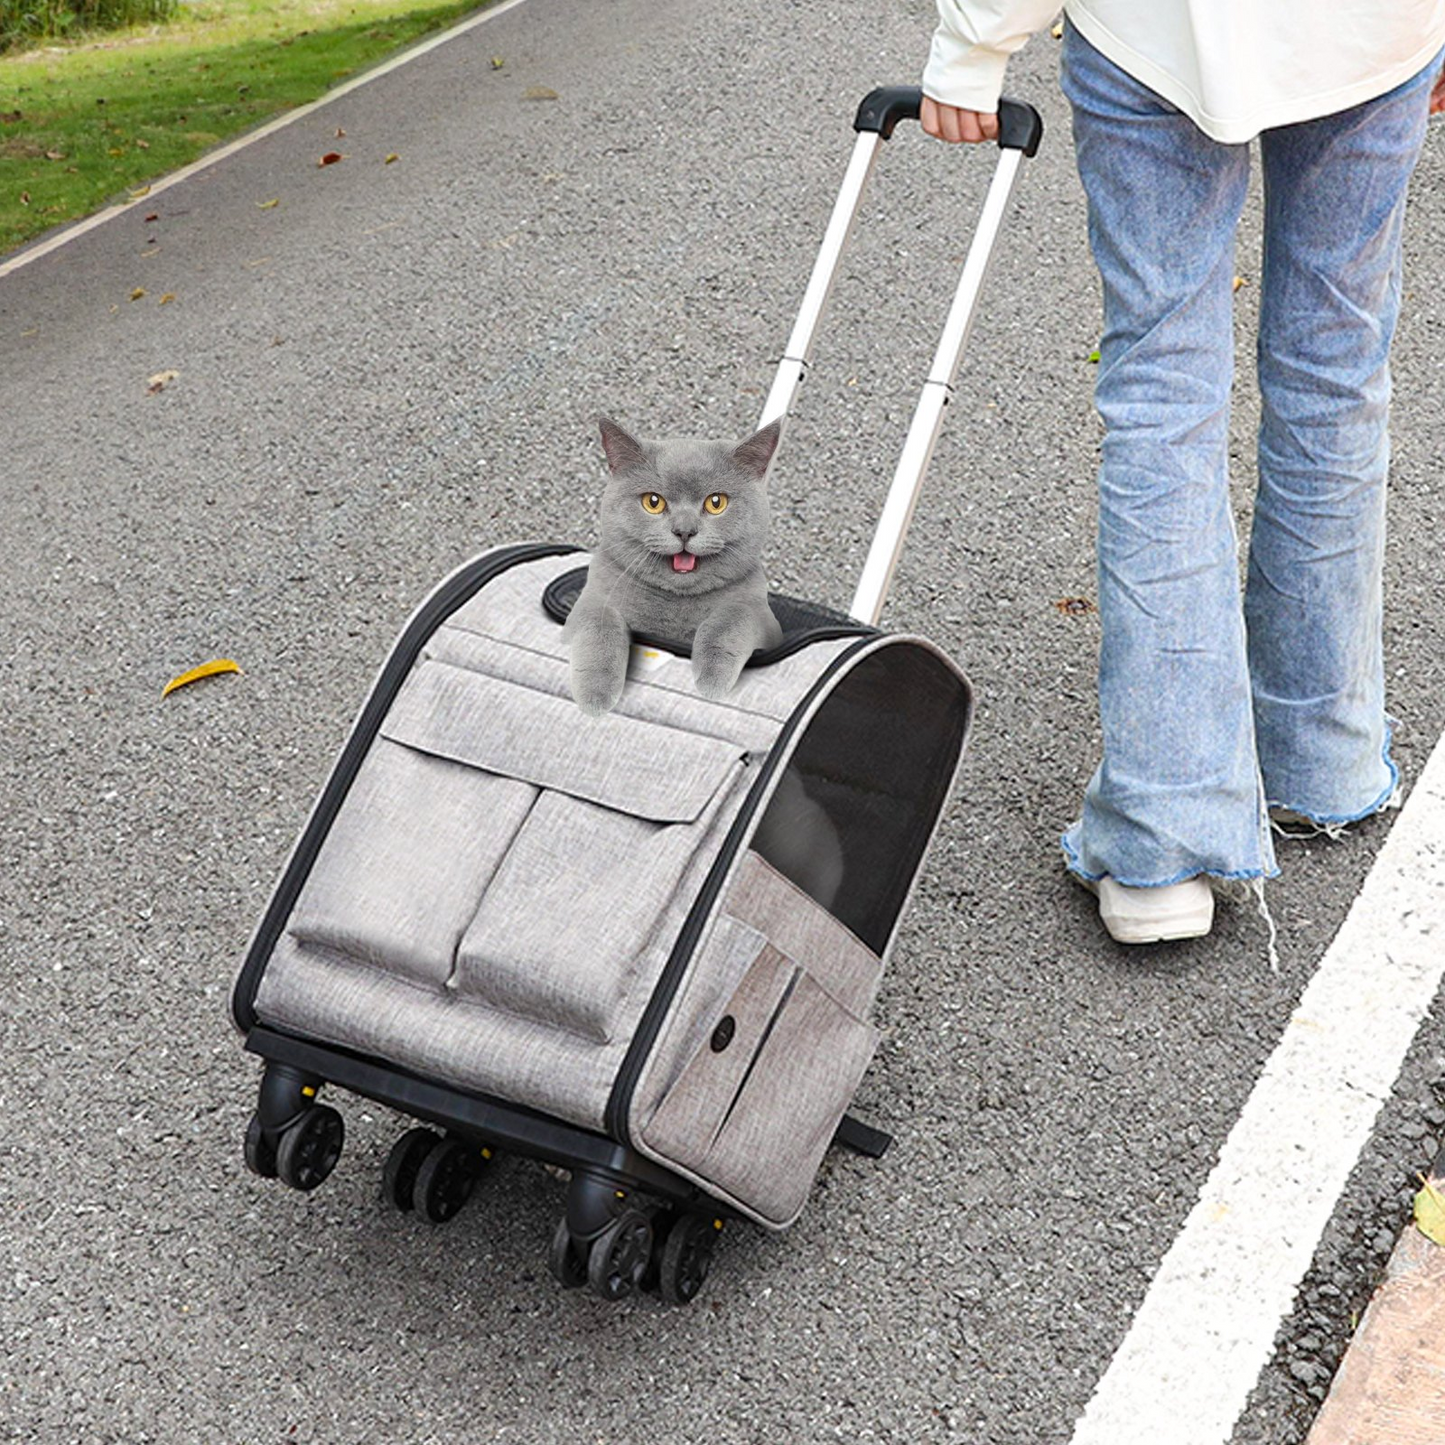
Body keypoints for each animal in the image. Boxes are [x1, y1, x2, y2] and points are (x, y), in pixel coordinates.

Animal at [566, 416, 791, 713]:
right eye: (653, 502)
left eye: (716, 502)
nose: (684, 531)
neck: (675, 607)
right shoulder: (591, 600)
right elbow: (600, 627)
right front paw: (596, 697)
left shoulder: (761, 615)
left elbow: (730, 620)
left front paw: (711, 681)